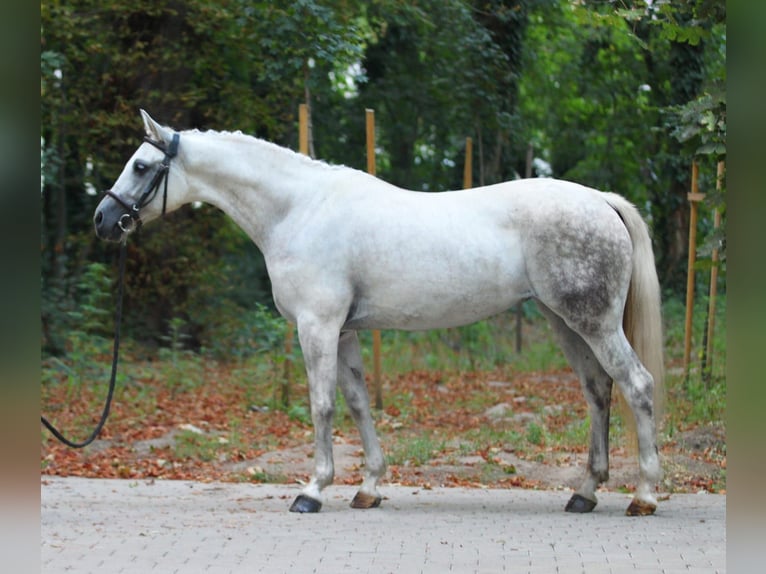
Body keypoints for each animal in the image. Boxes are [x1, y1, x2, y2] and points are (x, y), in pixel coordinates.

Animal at [94, 111, 664, 516]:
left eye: (141, 166)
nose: (103, 219)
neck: (299, 209)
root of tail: (600, 200)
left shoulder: (317, 326)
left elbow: (322, 404)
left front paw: (312, 490)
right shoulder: (343, 331)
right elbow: (358, 403)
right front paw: (368, 487)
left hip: (594, 324)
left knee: (636, 385)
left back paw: (644, 495)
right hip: (564, 323)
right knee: (598, 392)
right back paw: (585, 492)